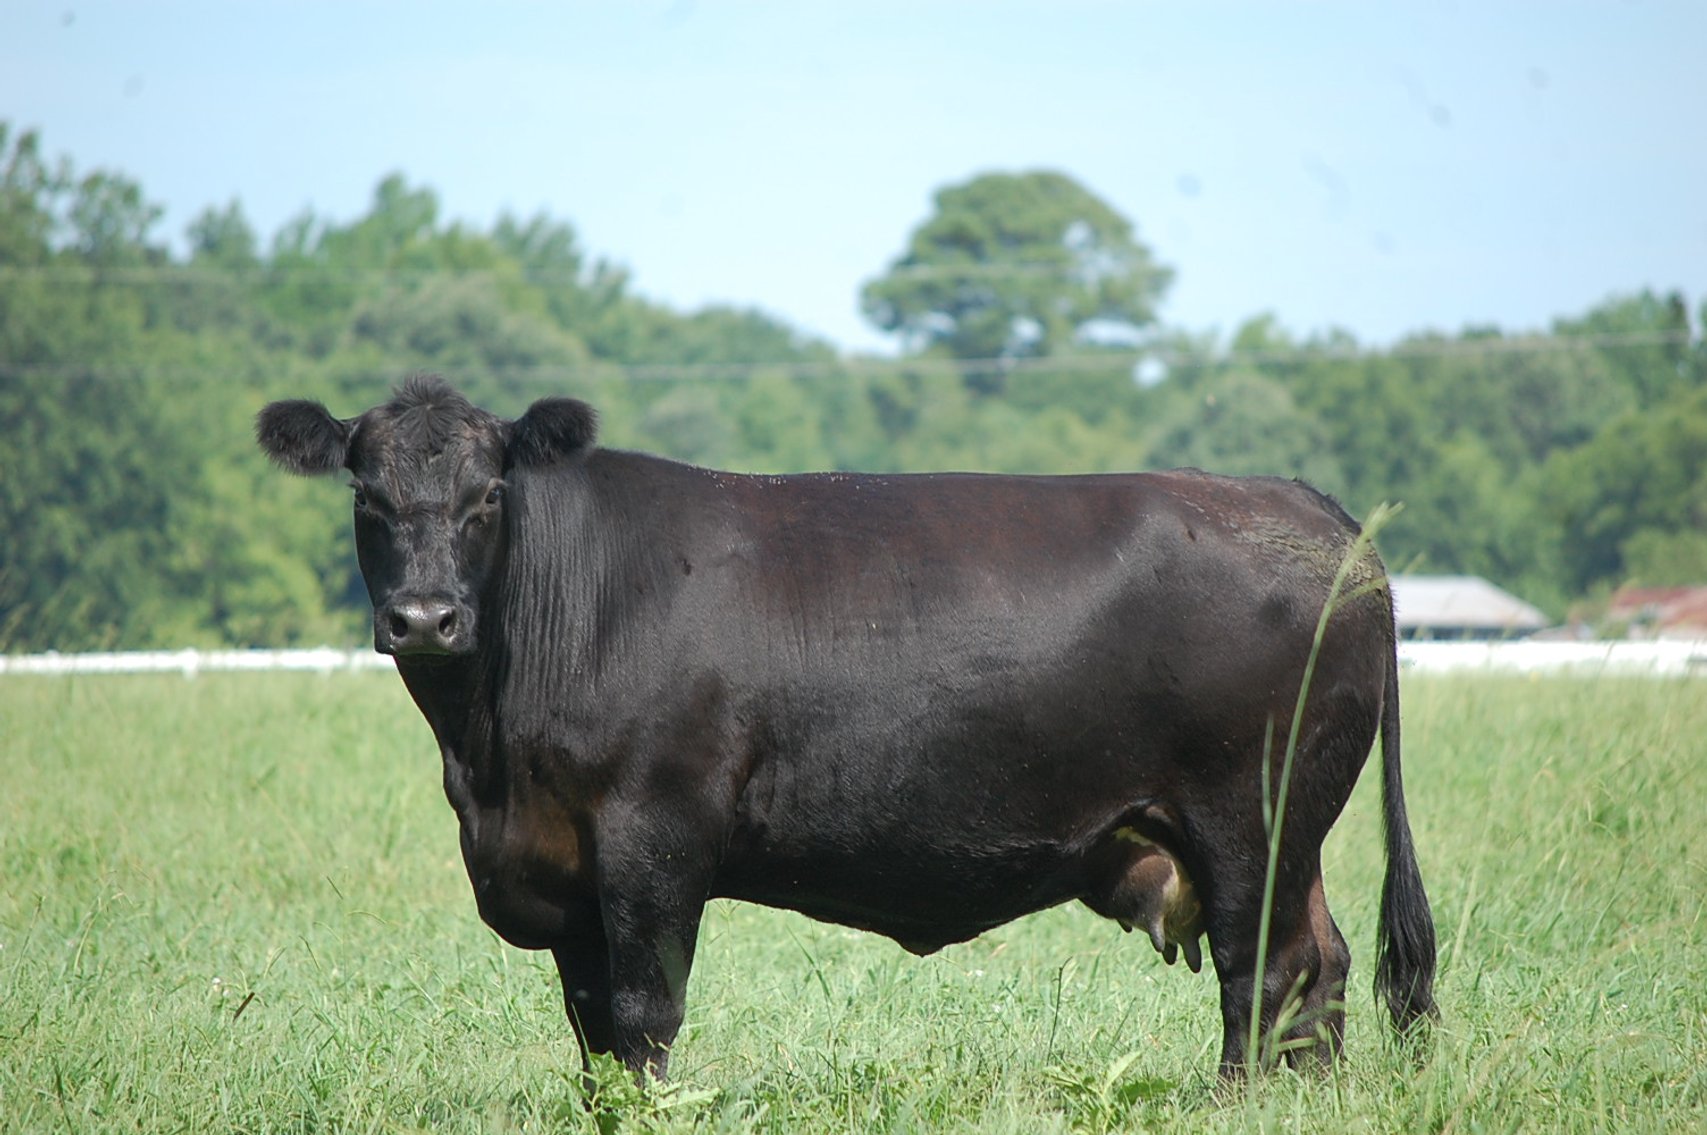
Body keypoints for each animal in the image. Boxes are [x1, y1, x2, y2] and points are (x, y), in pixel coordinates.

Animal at [256, 375, 1436, 1083]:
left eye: (489, 495)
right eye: (366, 494)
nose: (425, 616)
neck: (489, 763)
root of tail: (1309, 507)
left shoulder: (650, 838)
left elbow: (641, 1018)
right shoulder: (567, 871)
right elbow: (592, 1036)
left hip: (1251, 819)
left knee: (1263, 977)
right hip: (1287, 835)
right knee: (1320, 972)